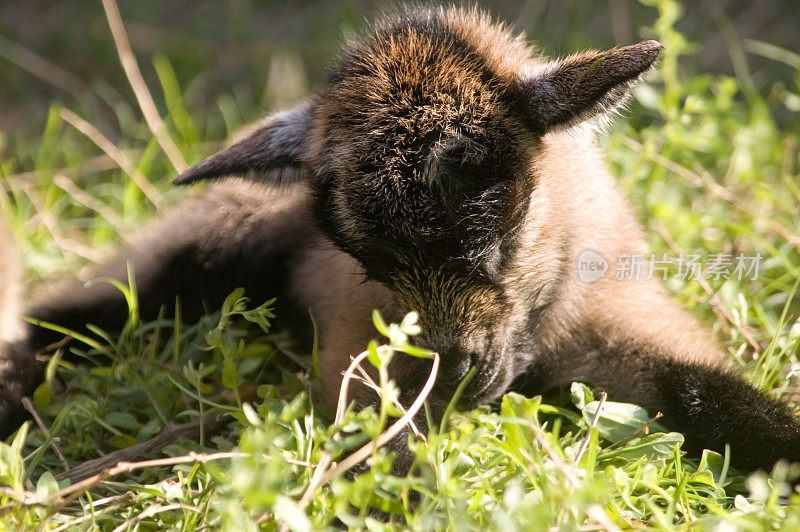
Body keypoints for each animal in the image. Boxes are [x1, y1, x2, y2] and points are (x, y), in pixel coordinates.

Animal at [1, 6, 800, 474]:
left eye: (500, 229)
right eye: (366, 261)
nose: (451, 381)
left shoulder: (628, 325)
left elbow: (719, 398)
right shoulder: (356, 360)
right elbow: (385, 448)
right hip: (210, 243)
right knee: (76, 312)